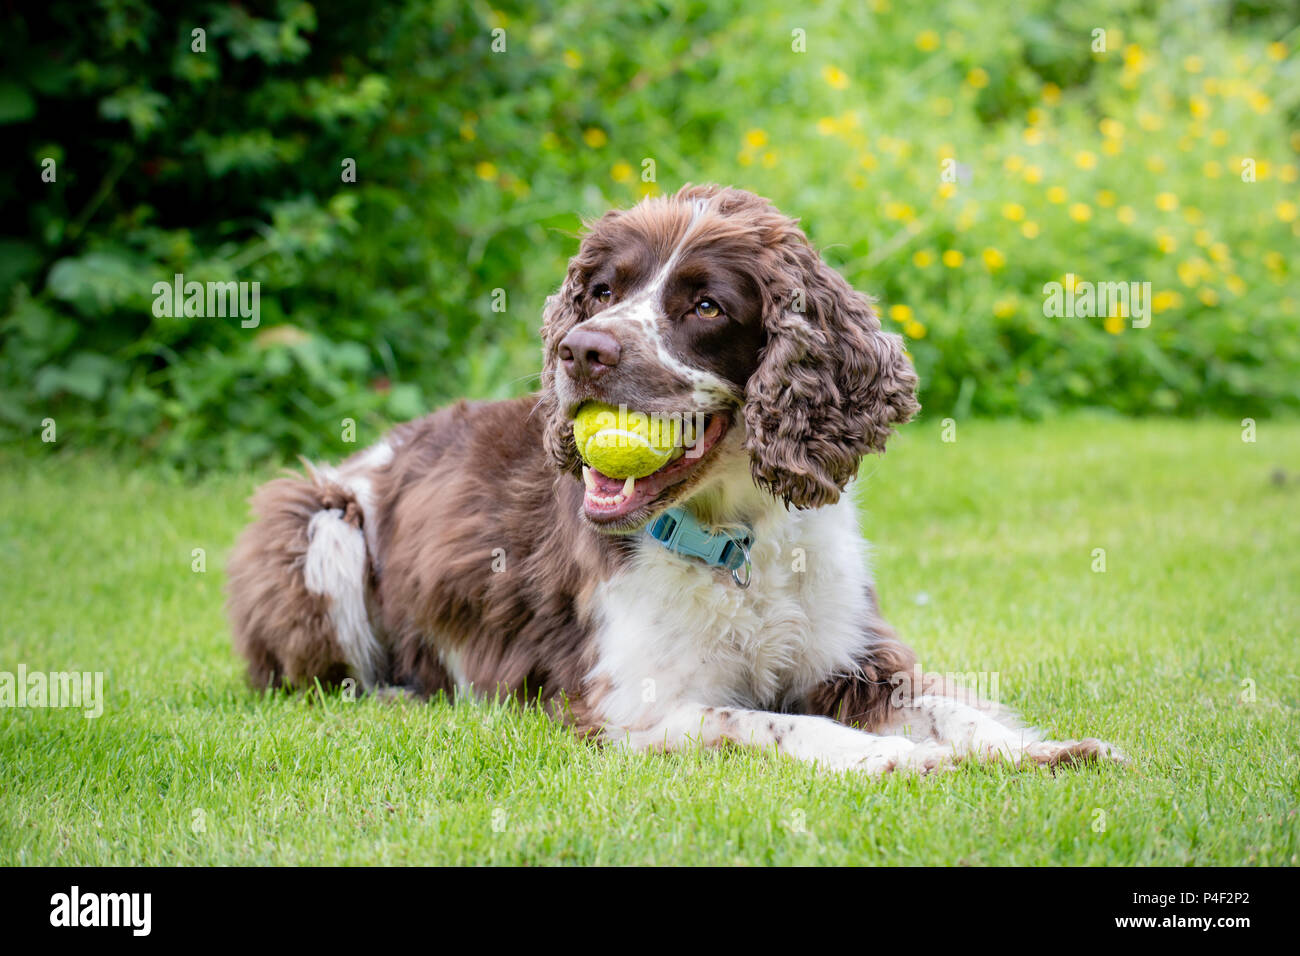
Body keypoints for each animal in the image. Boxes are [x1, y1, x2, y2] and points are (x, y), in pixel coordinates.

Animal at [228, 187, 1123, 780]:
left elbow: (954, 708)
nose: (581, 350)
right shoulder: (635, 706)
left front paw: (1046, 749)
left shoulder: (854, 661)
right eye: (601, 291)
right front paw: (891, 758)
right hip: (316, 520)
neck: (736, 537)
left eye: (706, 306)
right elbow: (770, 723)